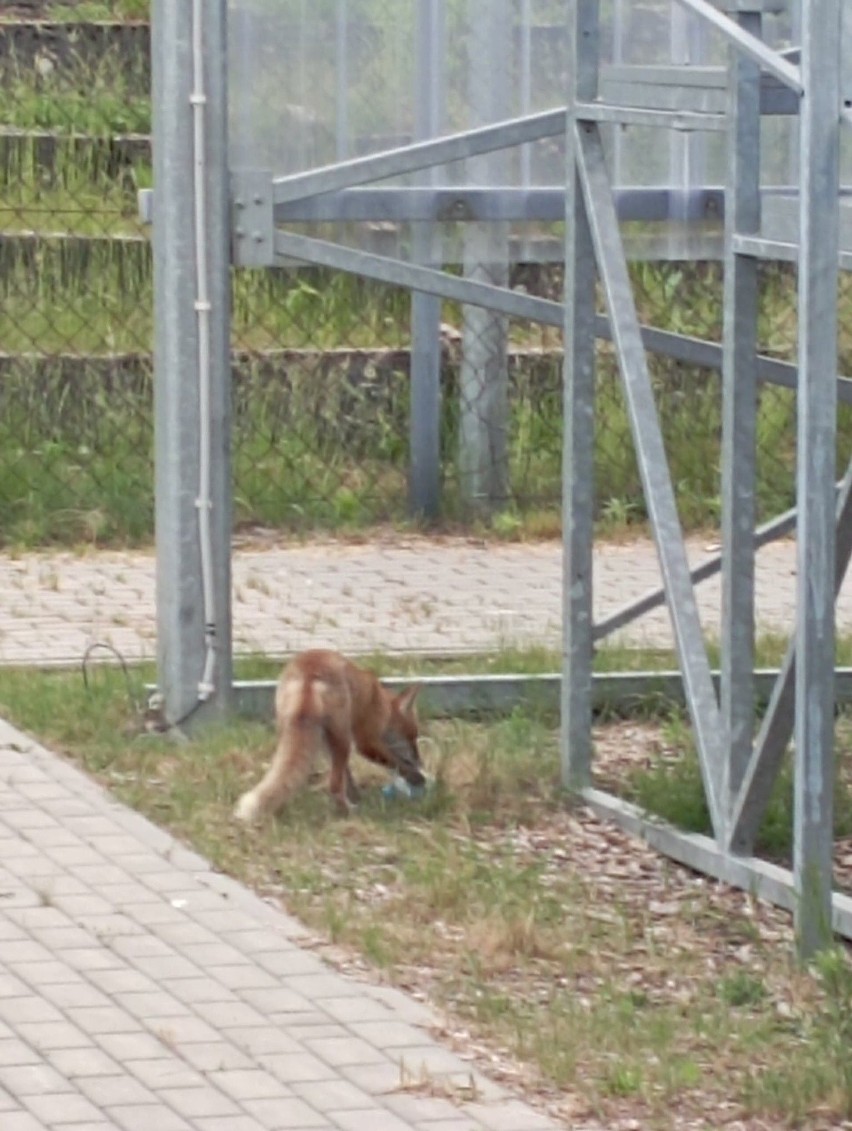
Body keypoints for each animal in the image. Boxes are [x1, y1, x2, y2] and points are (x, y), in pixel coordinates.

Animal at [233, 646, 423, 823]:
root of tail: (310, 671)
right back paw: (347, 812)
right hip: (343, 740)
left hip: (291, 733)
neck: (381, 703)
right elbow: (395, 762)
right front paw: (417, 777)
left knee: (286, 771)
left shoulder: (327, 741)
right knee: (334, 785)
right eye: (412, 736)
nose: (420, 761)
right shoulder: (366, 741)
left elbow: (347, 774)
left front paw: (356, 794)